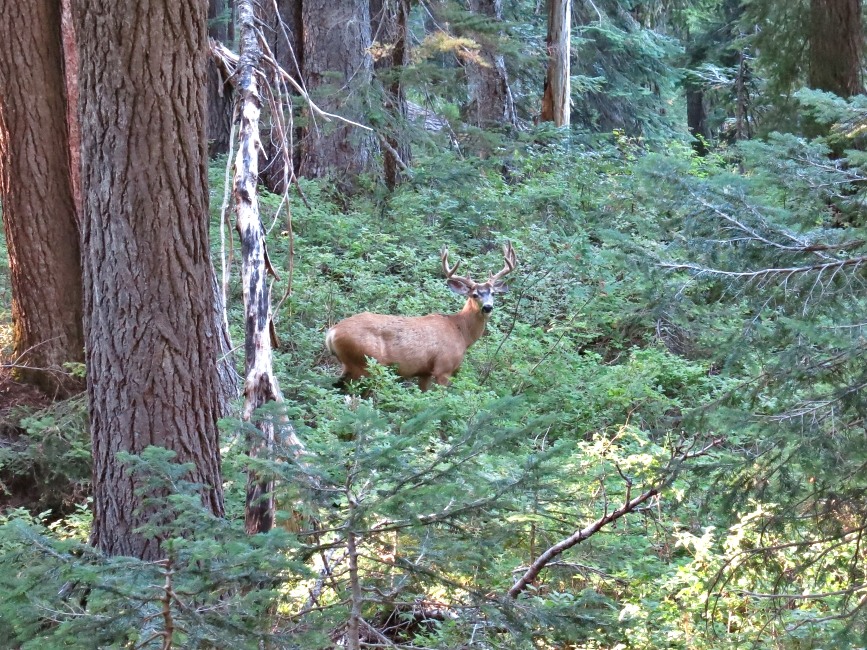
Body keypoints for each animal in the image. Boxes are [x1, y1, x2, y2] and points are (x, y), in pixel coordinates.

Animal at [324, 240, 516, 388]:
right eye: (475, 294)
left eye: (493, 293)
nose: (488, 307)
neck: (460, 331)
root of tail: (331, 333)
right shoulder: (443, 367)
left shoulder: (424, 372)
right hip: (364, 363)